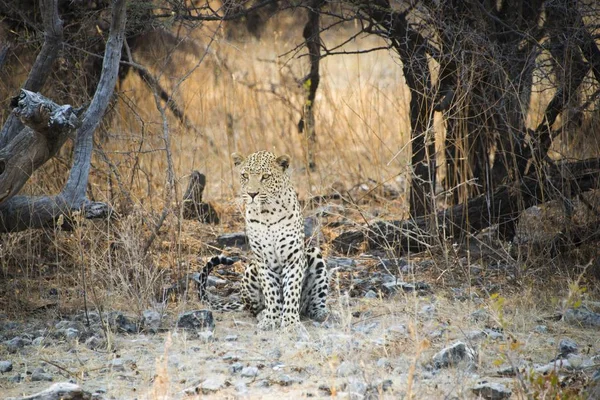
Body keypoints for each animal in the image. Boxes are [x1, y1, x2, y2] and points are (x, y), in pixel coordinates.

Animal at [197, 152, 328, 330]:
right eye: (245, 175)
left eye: (265, 177)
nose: (252, 194)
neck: (267, 213)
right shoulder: (262, 260)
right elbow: (271, 292)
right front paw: (272, 319)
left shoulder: (293, 259)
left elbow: (292, 291)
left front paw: (291, 322)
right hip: (250, 269)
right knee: (253, 308)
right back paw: (263, 314)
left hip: (313, 254)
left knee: (313, 302)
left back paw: (320, 313)